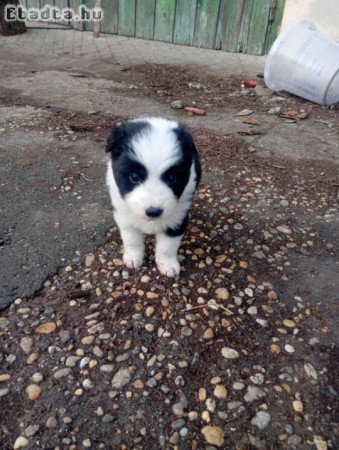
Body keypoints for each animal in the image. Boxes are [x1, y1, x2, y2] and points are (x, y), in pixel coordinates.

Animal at [106, 116, 202, 276]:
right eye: (134, 177)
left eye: (172, 178)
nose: (153, 211)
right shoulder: (124, 215)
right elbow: (132, 240)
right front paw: (133, 258)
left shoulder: (177, 218)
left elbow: (167, 246)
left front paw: (167, 265)